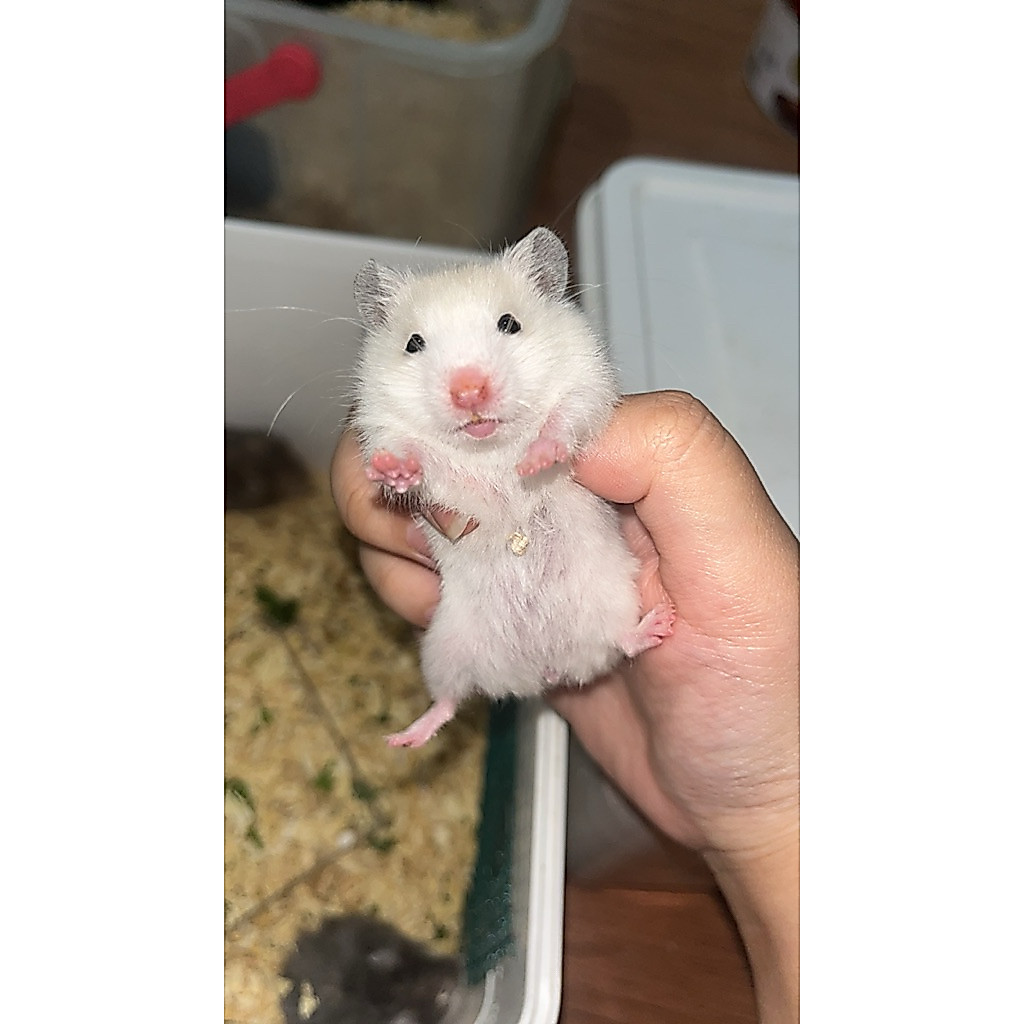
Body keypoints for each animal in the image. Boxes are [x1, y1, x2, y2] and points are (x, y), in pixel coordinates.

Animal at [352, 227, 675, 747]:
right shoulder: (384, 425)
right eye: (413, 343)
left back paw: (660, 625)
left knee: (621, 642)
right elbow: (413, 454)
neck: (490, 445)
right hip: (445, 645)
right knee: (447, 700)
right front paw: (390, 472)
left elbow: (563, 419)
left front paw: (535, 460)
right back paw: (402, 740)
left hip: (610, 599)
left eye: (510, 323)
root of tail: (541, 672)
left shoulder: (586, 385)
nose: (468, 392)